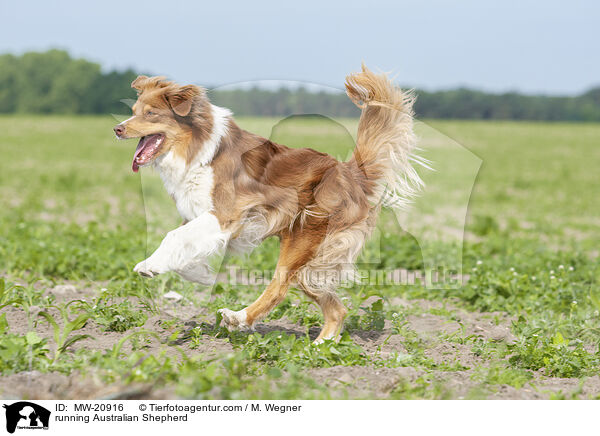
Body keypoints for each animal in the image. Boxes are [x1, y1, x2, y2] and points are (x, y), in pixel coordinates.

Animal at [112, 65, 422, 344]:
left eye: (151, 114)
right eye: (134, 110)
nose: (117, 129)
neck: (198, 150)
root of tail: (350, 172)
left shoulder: (225, 214)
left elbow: (173, 236)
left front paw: (150, 265)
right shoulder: (201, 216)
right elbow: (186, 246)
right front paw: (201, 275)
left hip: (305, 238)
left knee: (279, 287)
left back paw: (239, 318)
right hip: (313, 261)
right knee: (337, 308)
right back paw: (321, 349)